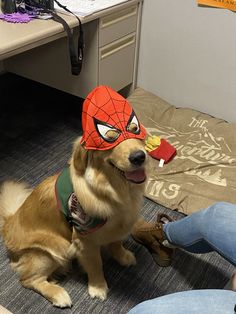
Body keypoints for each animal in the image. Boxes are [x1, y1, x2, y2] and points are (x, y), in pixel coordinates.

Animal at [0, 136, 148, 306]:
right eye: (110, 139)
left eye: (135, 131)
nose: (139, 157)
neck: (113, 191)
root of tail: (8, 223)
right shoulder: (84, 240)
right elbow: (95, 264)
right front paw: (98, 287)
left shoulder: (119, 226)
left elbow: (116, 242)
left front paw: (123, 256)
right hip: (56, 248)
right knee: (27, 279)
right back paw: (58, 294)